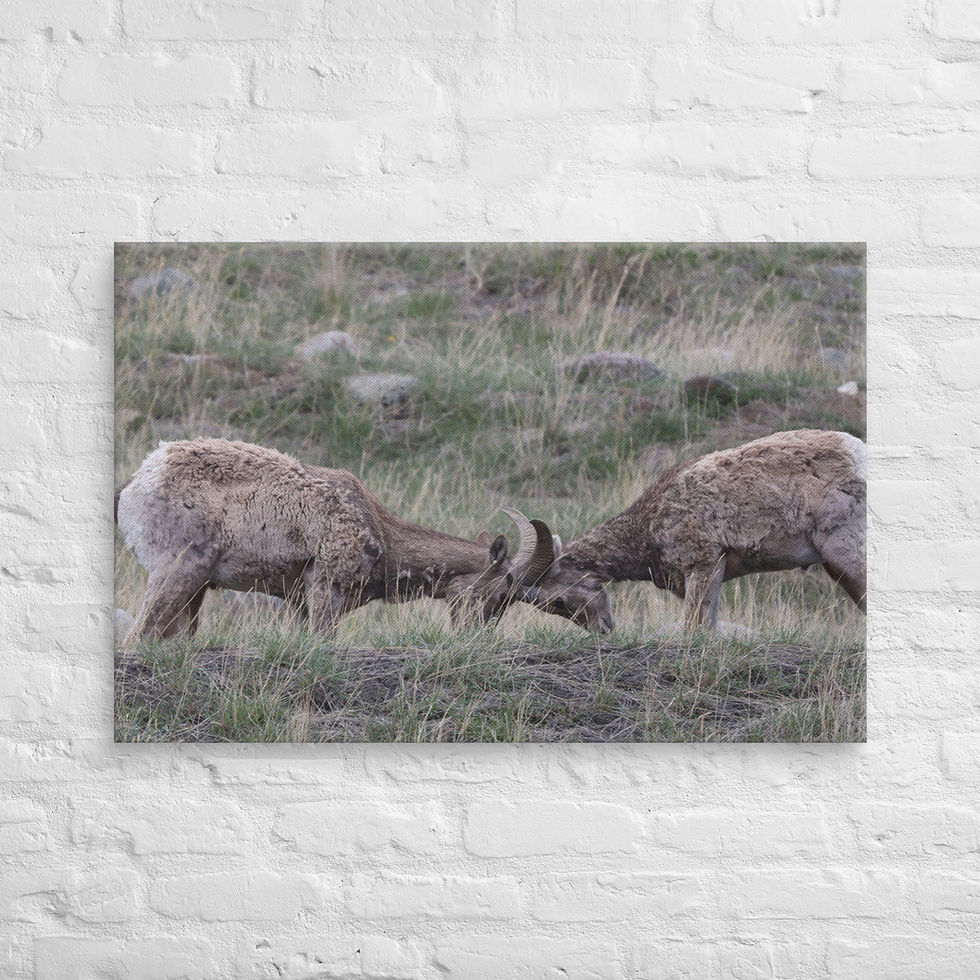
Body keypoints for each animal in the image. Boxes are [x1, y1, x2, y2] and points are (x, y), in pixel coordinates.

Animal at [116, 438, 522, 638]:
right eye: (501, 594)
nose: (478, 637)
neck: (382, 535)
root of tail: (139, 481)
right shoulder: (326, 590)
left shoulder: (301, 603)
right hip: (179, 570)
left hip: (195, 589)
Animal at [501, 429, 866, 634]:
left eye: (559, 601)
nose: (602, 630)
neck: (649, 525)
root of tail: (858, 455)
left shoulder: (702, 566)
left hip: (845, 554)